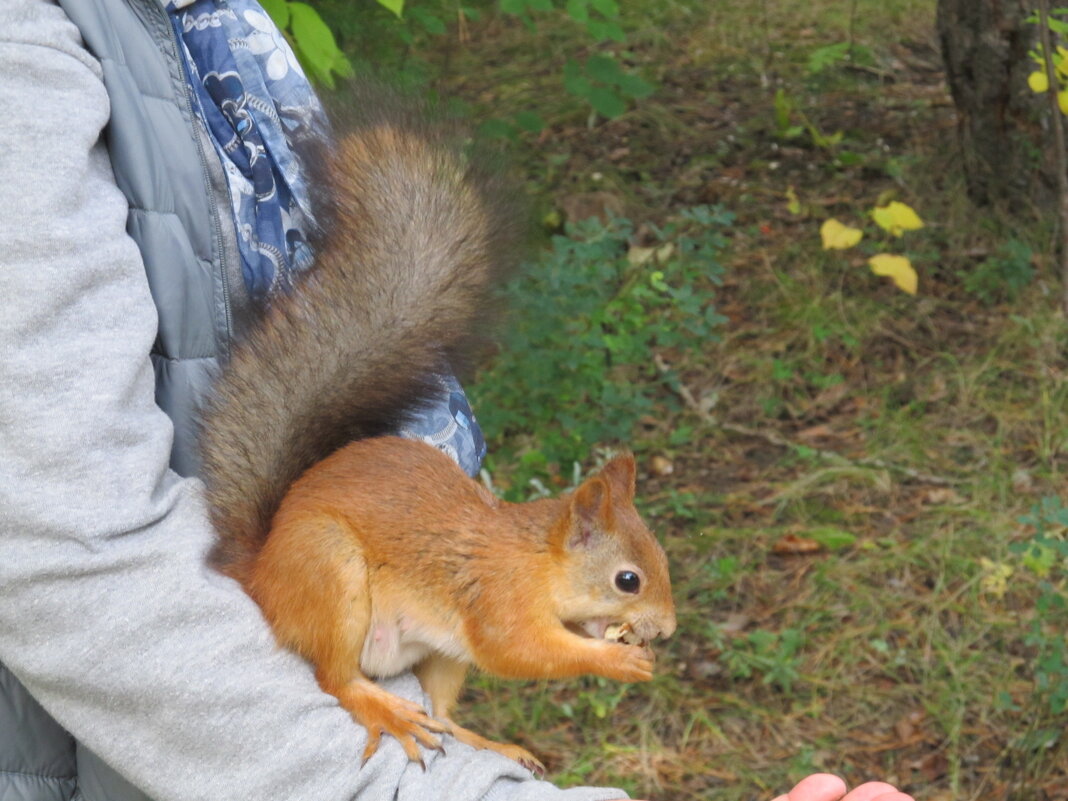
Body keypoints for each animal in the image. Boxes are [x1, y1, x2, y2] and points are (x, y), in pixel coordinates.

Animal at [196, 90, 670, 773]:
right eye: (627, 580)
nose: (667, 628)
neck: (537, 563)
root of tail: (259, 572)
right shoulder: (497, 602)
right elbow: (521, 651)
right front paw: (617, 657)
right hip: (330, 575)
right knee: (336, 678)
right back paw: (386, 709)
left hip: (442, 652)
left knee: (444, 712)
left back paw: (494, 744)